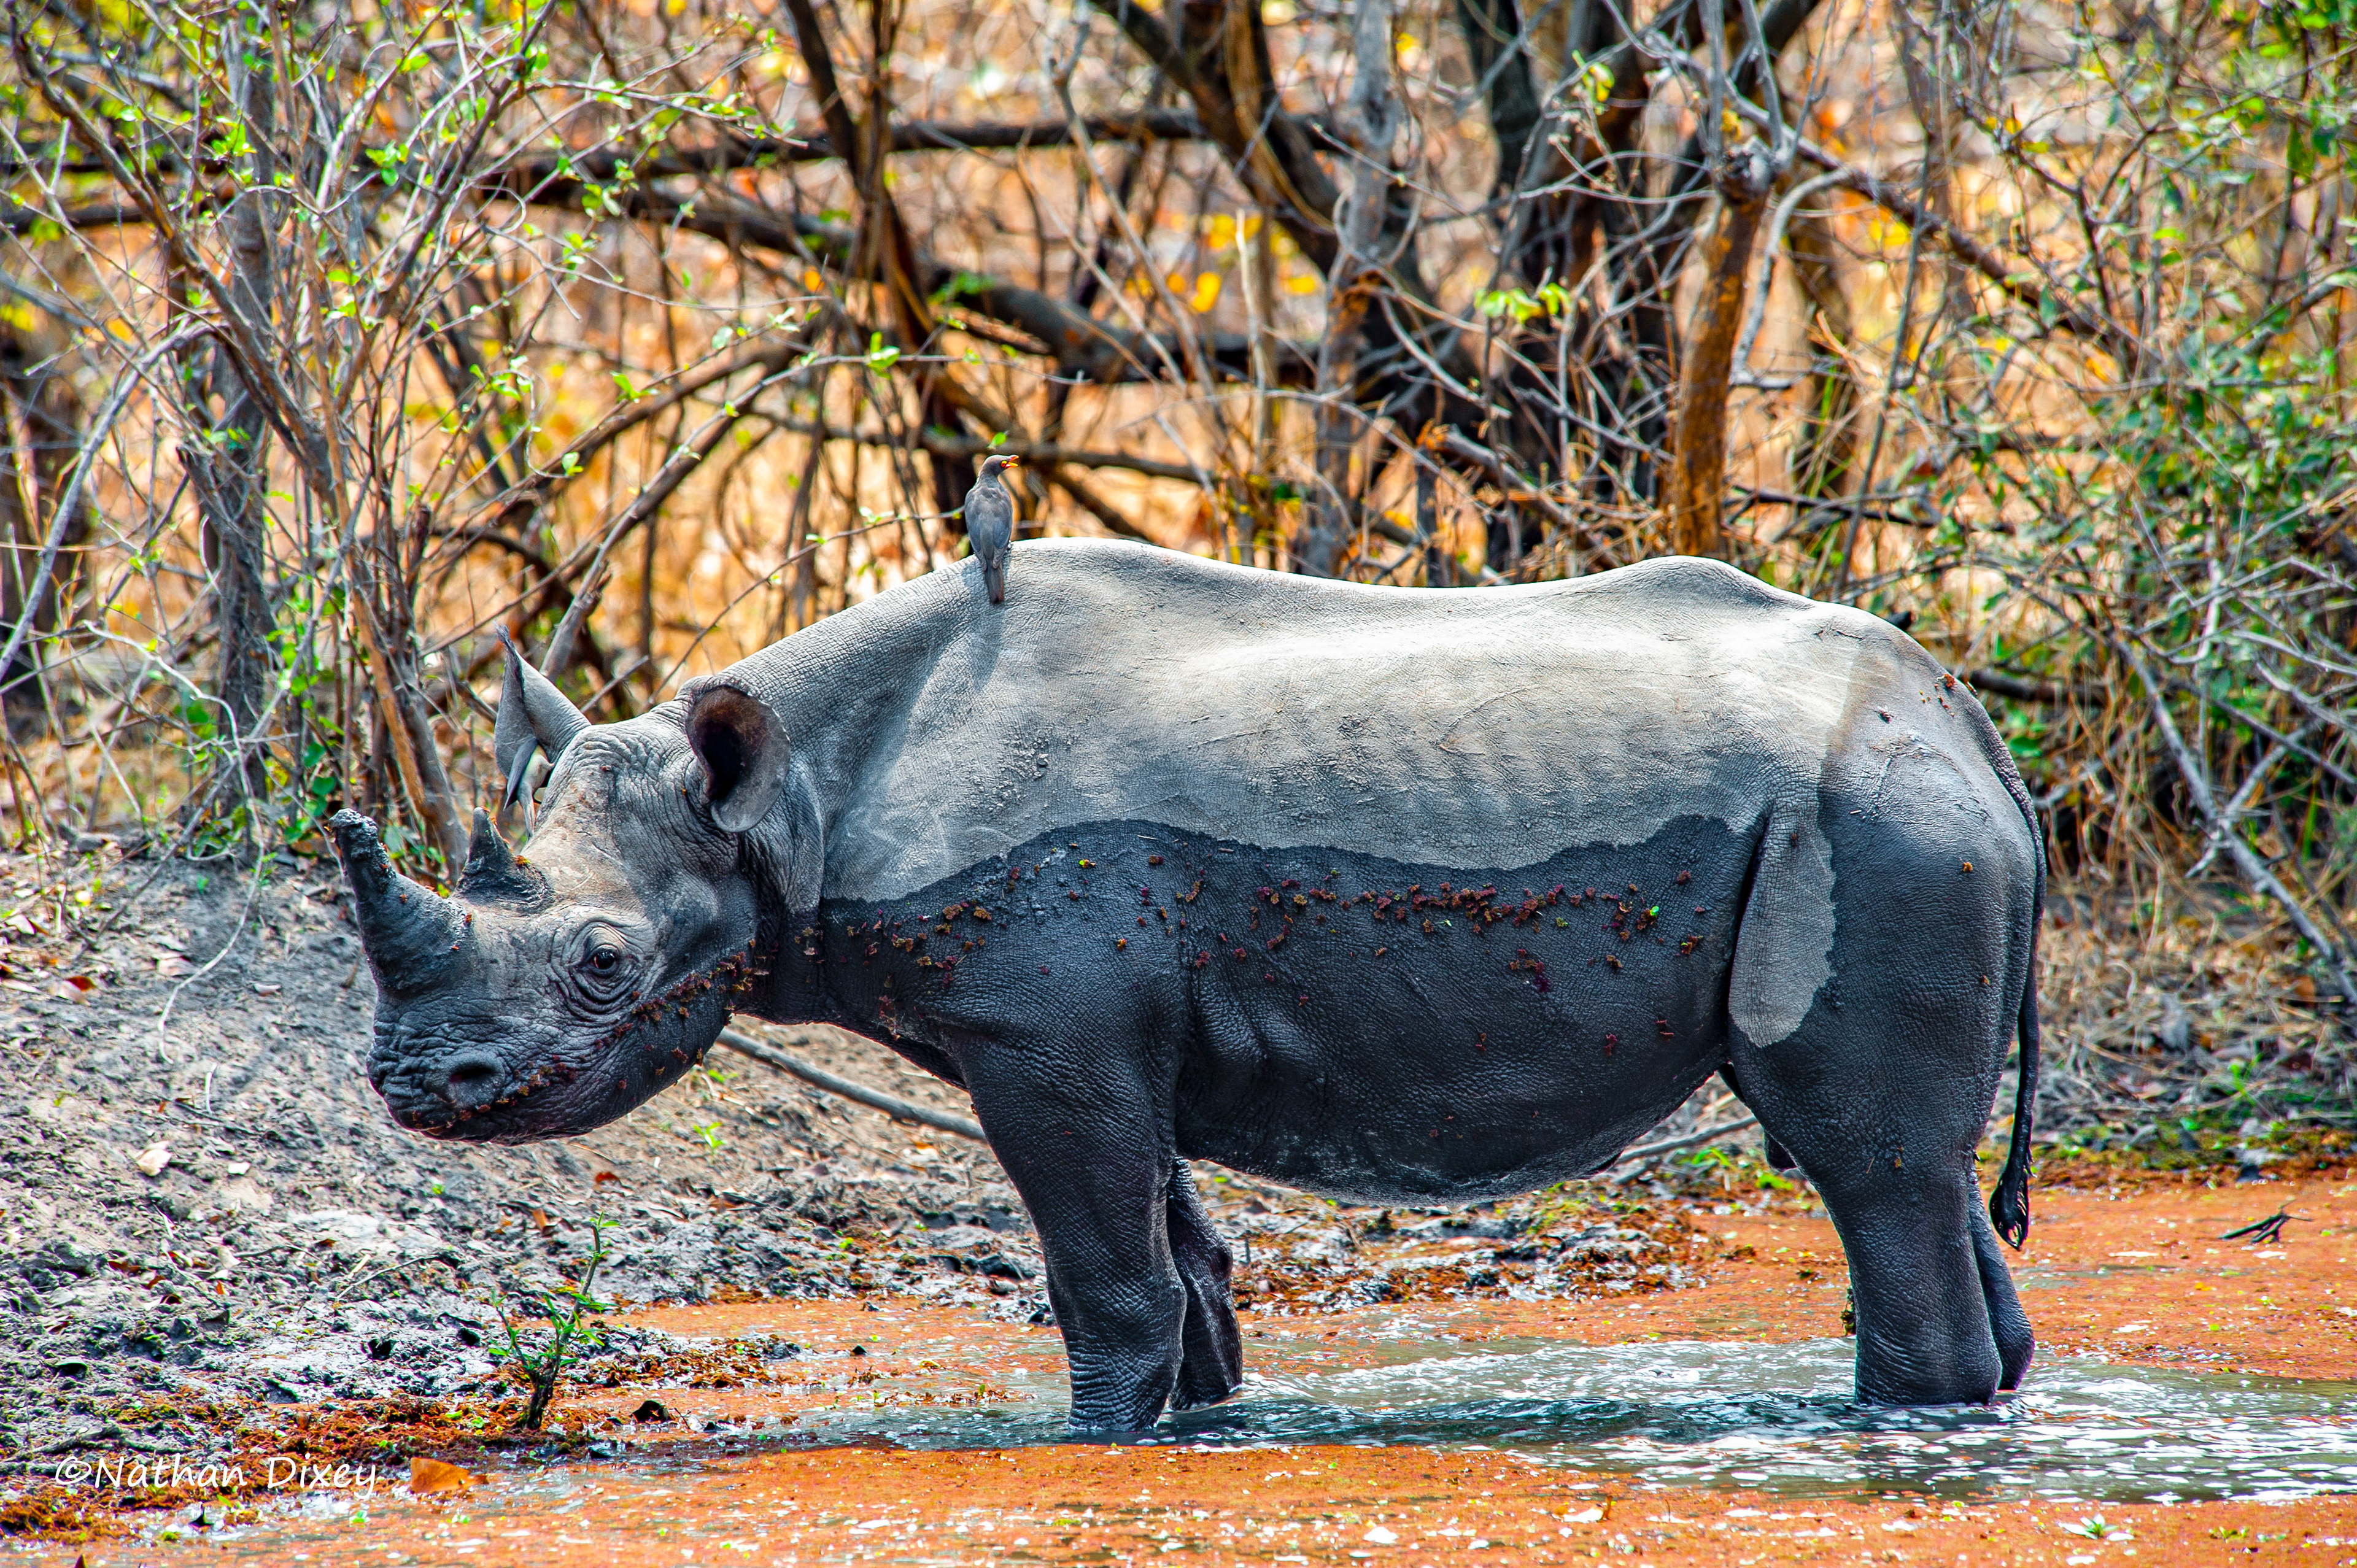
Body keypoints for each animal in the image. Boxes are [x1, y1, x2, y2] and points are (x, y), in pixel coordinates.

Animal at [332, 541, 2044, 1430]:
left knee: (1864, 1163)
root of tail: (1974, 729)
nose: (417, 1088)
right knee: (1910, 1163)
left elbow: (1107, 1280)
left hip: (1874, 824)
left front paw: (1092, 1436)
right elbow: (1181, 1260)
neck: (793, 795)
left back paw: (1902, 1426)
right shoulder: (1087, 1027)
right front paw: (1196, 1413)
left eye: (601, 964)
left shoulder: (1042, 1028)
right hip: (1895, 816)